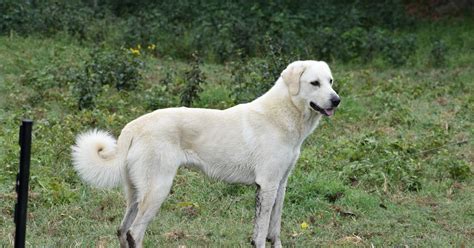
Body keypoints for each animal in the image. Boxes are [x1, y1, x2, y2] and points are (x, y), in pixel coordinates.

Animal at [72, 60, 340, 248]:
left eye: (330, 81)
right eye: (314, 83)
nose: (336, 100)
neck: (283, 114)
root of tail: (134, 126)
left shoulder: (280, 185)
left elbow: (273, 230)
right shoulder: (267, 185)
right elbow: (262, 233)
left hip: (136, 193)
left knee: (121, 230)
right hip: (157, 189)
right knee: (133, 233)